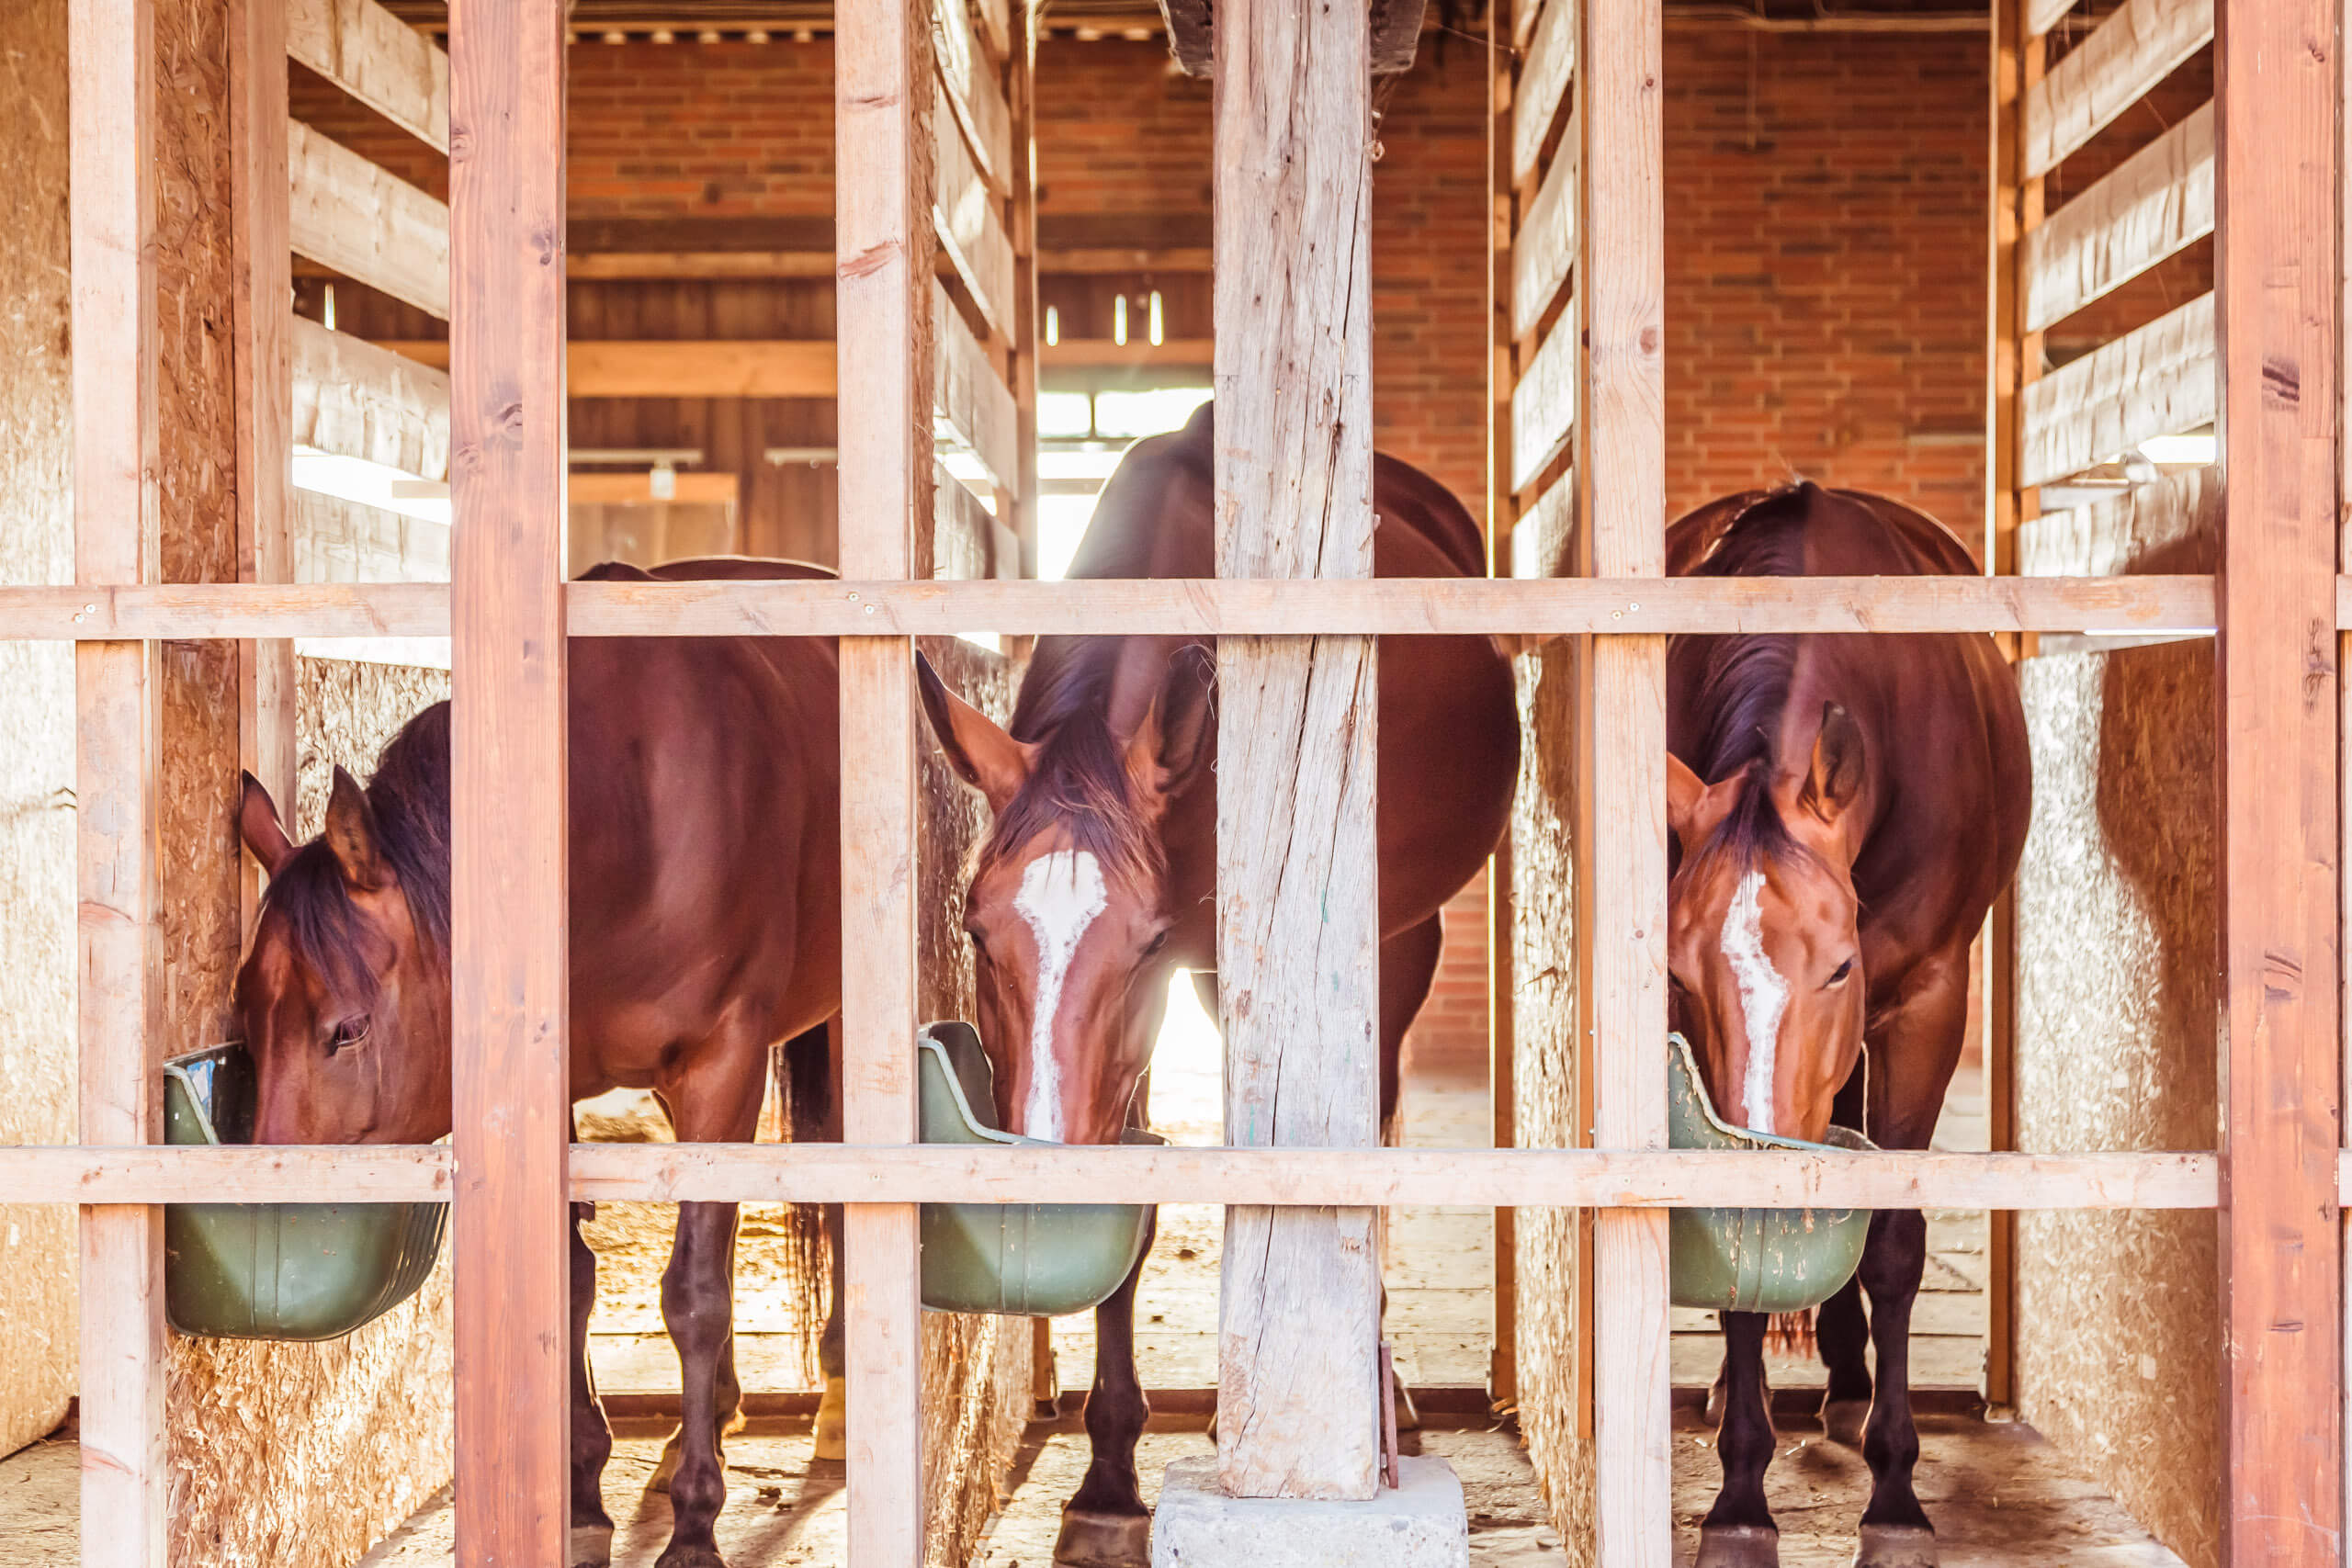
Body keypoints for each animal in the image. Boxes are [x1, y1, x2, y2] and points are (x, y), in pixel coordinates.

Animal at [233, 557, 842, 1561]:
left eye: (347, 1029)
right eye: (245, 1021)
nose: (265, 1214)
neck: (628, 817)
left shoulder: (723, 1067)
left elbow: (696, 1293)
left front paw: (695, 1520)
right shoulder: (548, 1084)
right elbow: (573, 1279)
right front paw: (584, 1485)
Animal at [1665, 481, 2031, 1568]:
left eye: (1835, 965)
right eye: (1681, 978)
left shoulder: (1923, 1007)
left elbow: (1894, 1245)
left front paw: (1896, 1496)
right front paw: (1739, 1497)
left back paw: (1850, 1387)